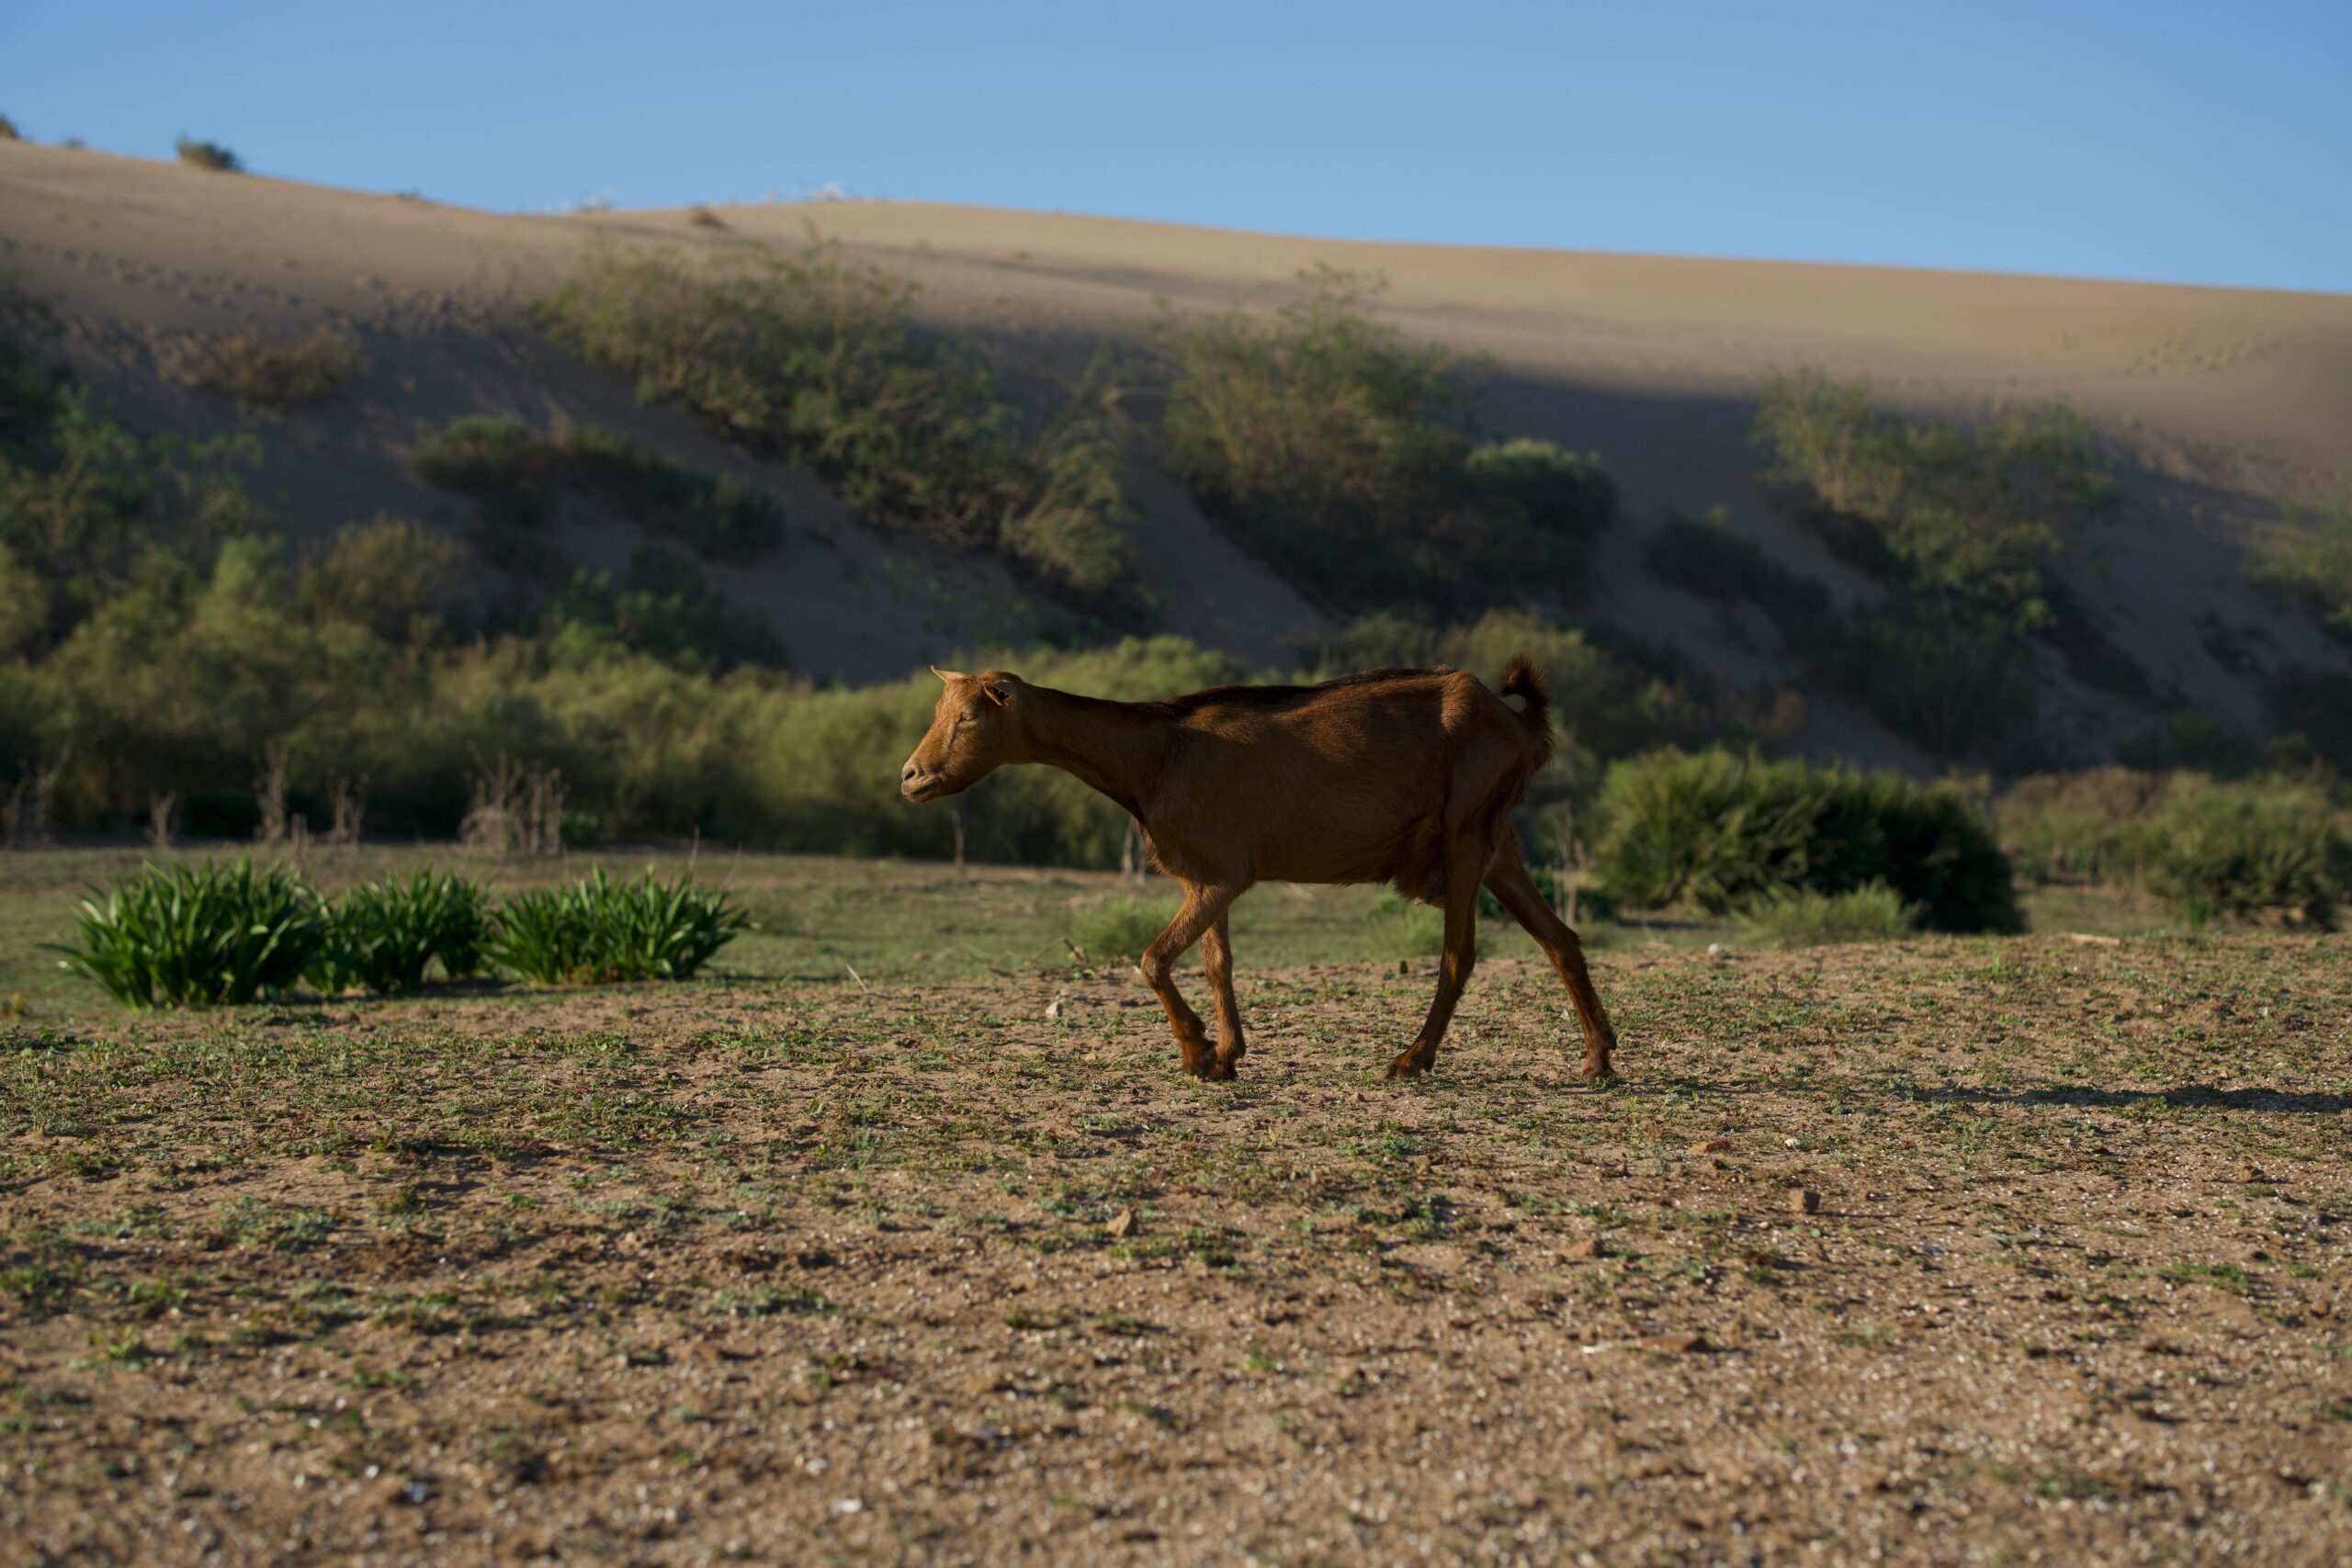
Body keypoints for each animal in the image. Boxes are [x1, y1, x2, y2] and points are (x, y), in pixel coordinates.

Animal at [900, 659, 1618, 1082]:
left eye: (968, 716)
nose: (911, 776)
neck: (1153, 756)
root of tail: (1516, 720)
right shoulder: (1205, 874)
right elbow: (1217, 962)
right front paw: (1226, 1054)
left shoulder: (1224, 874)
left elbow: (1152, 957)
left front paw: (1195, 1051)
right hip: (1500, 845)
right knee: (1559, 938)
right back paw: (1598, 1057)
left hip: (1467, 834)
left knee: (1459, 953)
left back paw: (1412, 1059)